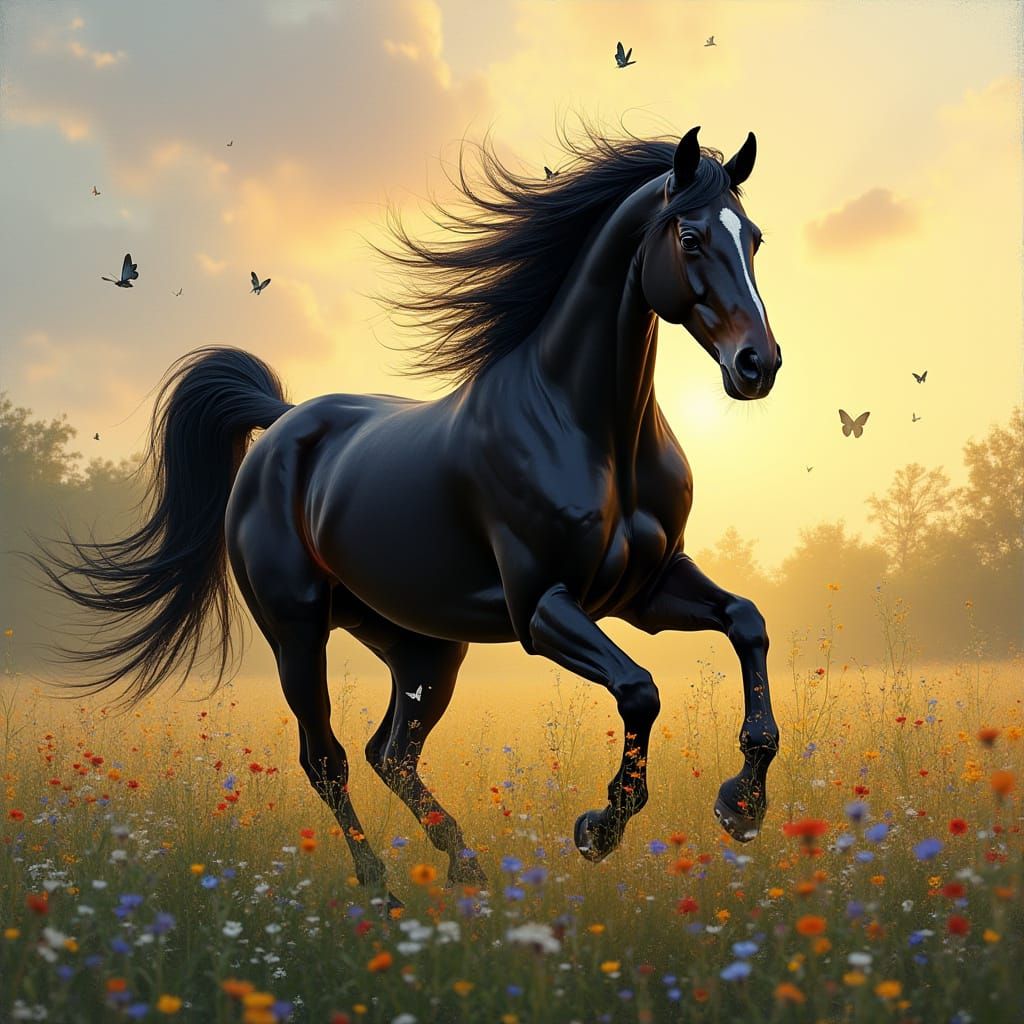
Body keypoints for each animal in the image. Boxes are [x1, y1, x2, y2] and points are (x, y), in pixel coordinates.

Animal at [36, 123, 782, 906]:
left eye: (755, 237)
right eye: (691, 237)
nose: (758, 365)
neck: (588, 429)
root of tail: (281, 424)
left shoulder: (646, 590)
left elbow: (746, 622)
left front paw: (741, 806)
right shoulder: (543, 608)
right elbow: (639, 690)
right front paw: (599, 829)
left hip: (422, 645)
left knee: (389, 752)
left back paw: (466, 869)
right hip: (297, 633)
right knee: (327, 757)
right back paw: (383, 892)